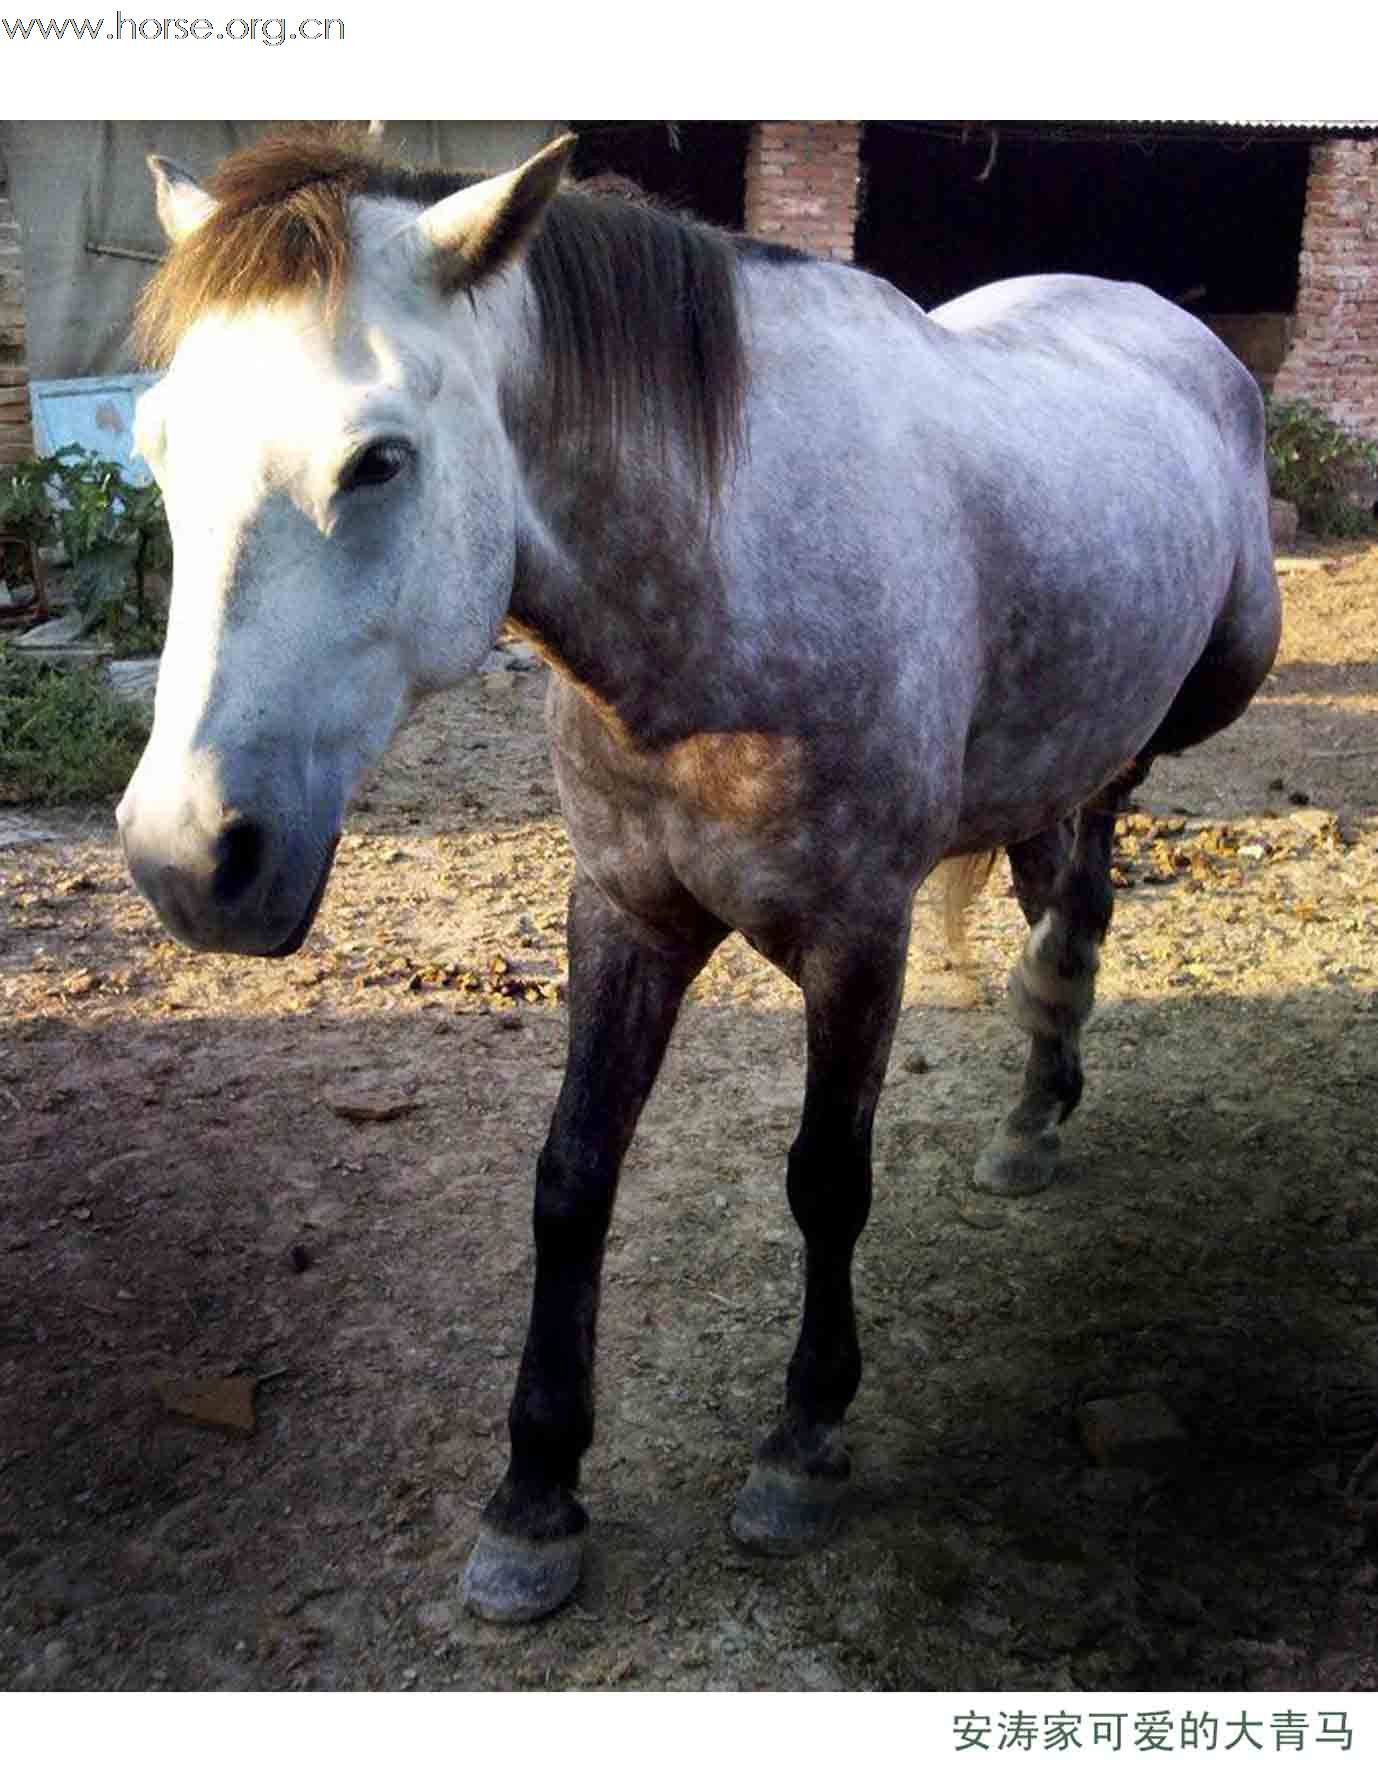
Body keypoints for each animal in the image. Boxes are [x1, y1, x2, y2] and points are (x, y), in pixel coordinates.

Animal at [115, 130, 1280, 1619]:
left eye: (376, 462)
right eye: (155, 445)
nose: (186, 857)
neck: (720, 573)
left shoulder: (858, 938)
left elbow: (825, 1179)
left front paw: (801, 1441)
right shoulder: (625, 916)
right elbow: (570, 1181)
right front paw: (534, 1500)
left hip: (1181, 701)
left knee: (1084, 877)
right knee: (1052, 885)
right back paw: (1034, 1109)